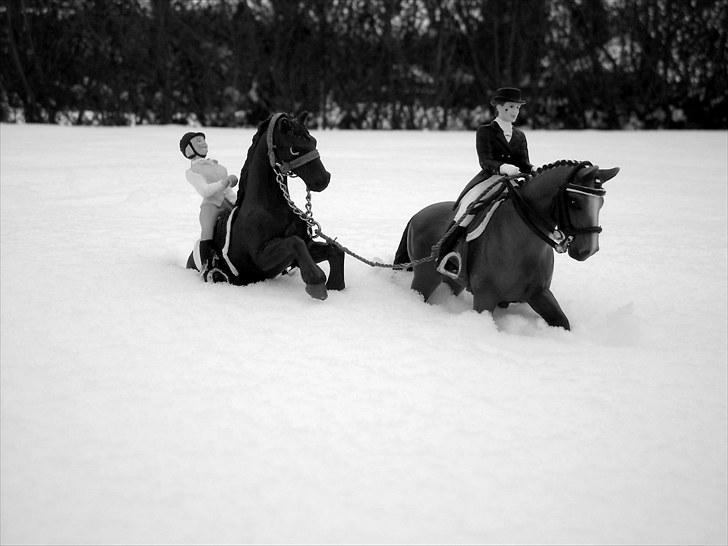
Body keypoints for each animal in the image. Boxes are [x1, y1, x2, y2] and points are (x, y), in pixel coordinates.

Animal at [188, 111, 346, 298]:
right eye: (294, 149)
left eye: (314, 141)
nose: (323, 179)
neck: (270, 208)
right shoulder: (260, 259)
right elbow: (294, 243)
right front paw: (316, 283)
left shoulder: (305, 248)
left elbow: (335, 251)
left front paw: (335, 286)